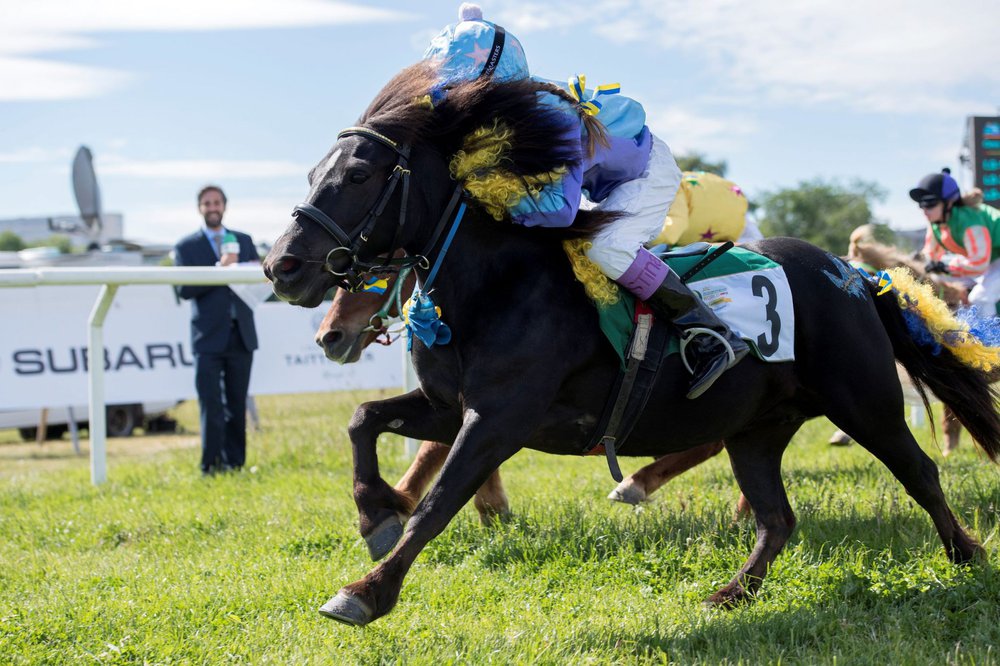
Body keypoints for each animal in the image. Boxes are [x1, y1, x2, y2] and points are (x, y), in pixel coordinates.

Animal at [262, 62, 996, 624]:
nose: (281, 267)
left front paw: (366, 591)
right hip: (757, 426)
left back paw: (967, 555)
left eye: (359, 174)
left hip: (863, 399)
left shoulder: (501, 417)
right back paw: (731, 592)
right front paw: (374, 514)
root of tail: (852, 274)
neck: (494, 281)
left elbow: (439, 503)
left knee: (920, 472)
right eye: (312, 173)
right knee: (776, 517)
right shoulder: (451, 405)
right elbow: (364, 419)